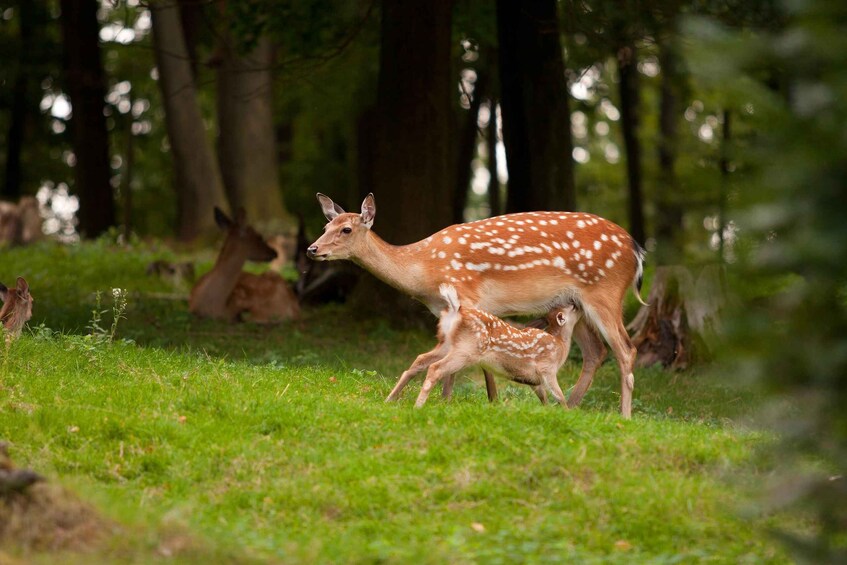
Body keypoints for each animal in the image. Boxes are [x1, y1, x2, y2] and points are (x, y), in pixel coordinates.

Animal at [388, 284, 581, 408]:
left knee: (419, 360)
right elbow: (559, 395)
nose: (576, 302)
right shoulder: (547, 368)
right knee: (435, 368)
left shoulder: (532, 378)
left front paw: (547, 410)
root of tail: (456, 310)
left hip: (446, 344)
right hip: (466, 350)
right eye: (572, 307)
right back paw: (418, 406)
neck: (560, 345)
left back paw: (390, 399)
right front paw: (566, 412)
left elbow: (543, 396)